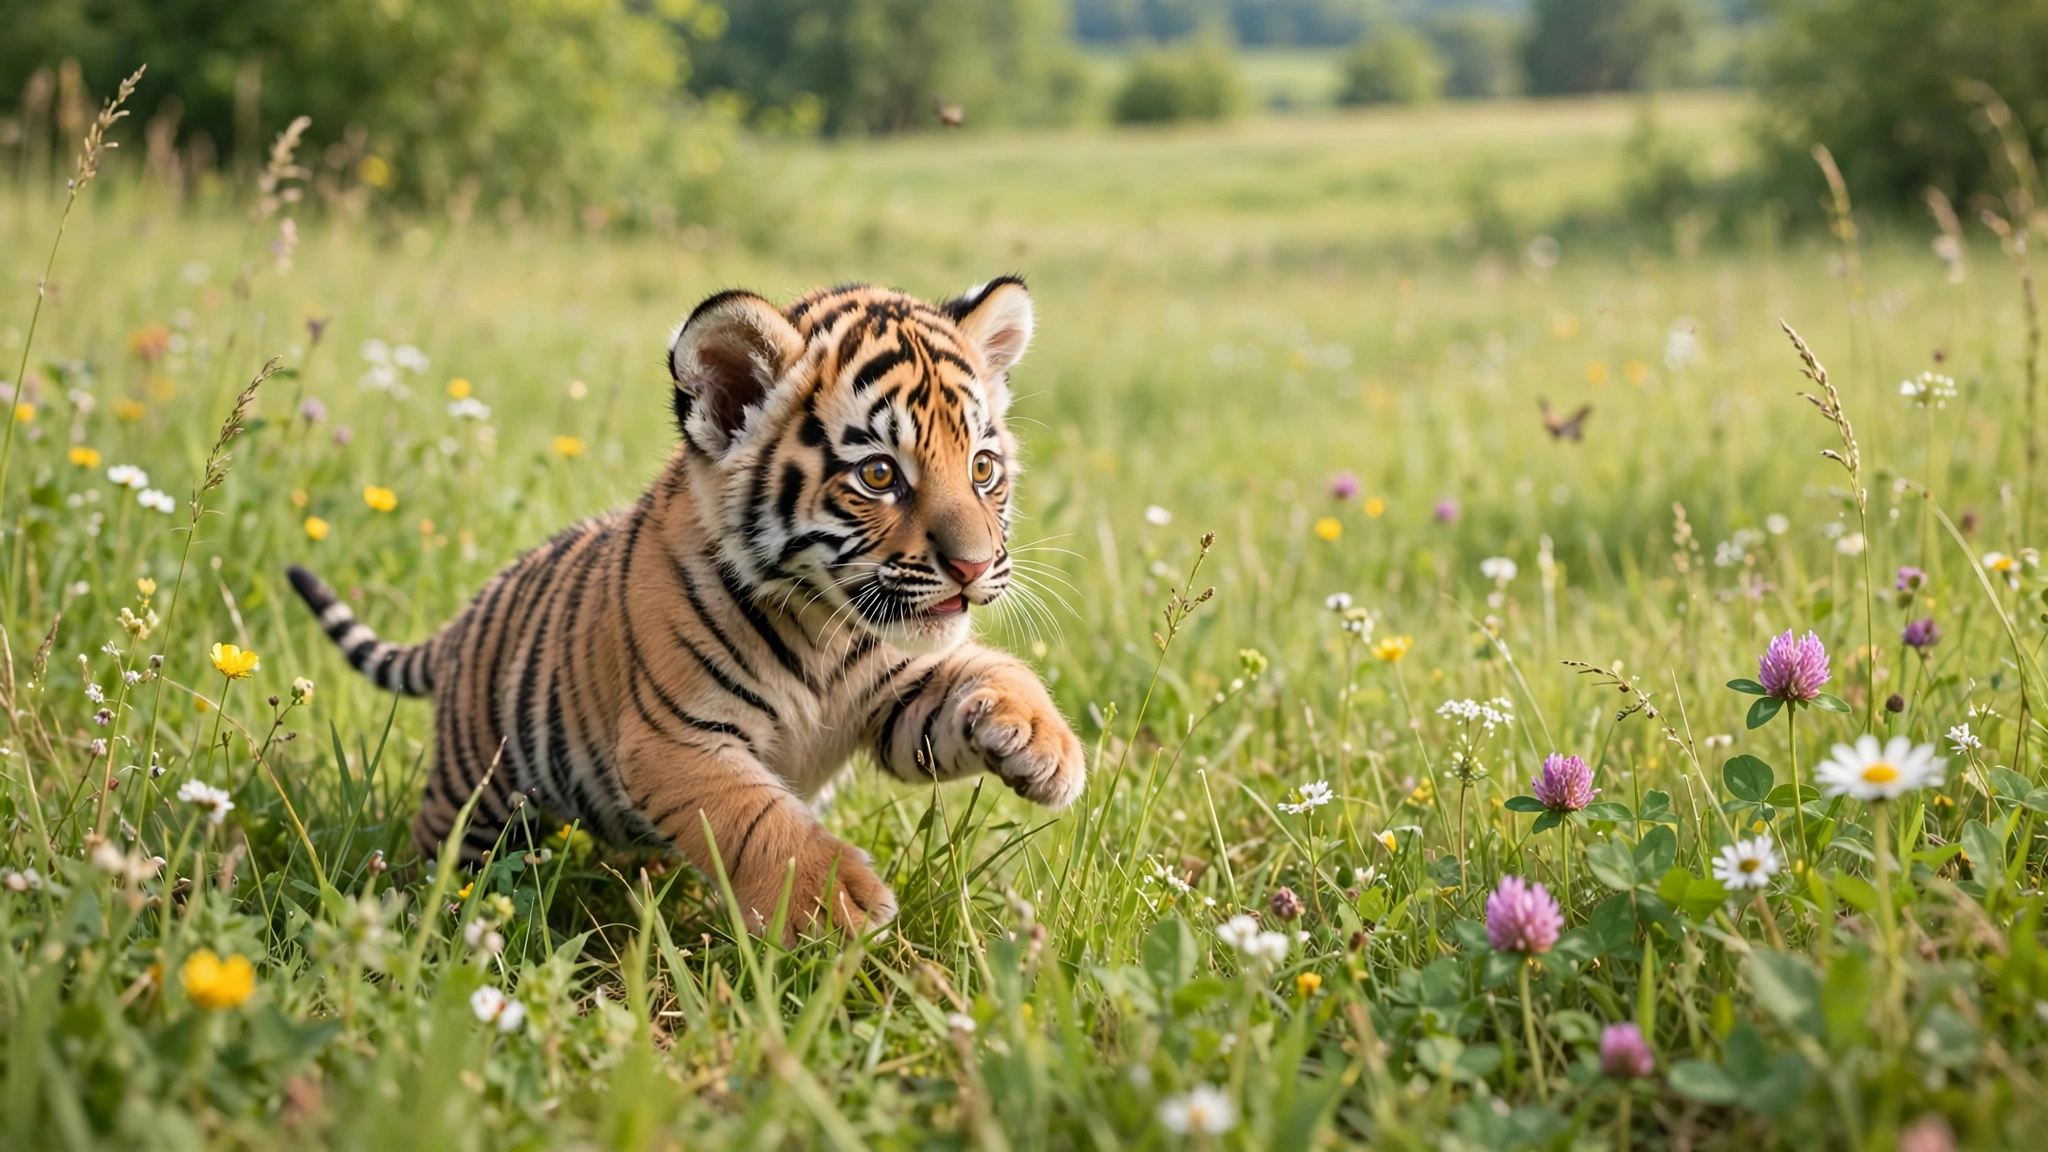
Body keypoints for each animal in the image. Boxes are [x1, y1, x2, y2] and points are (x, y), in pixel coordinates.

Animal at [286, 278, 1085, 938]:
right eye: (880, 475)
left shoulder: (894, 699)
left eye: (982, 468)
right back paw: (417, 912)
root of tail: (462, 621)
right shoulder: (674, 740)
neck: (822, 624)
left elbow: (984, 675)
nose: (973, 567)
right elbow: (758, 820)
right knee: (438, 848)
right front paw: (837, 905)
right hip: (473, 788)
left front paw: (1045, 745)